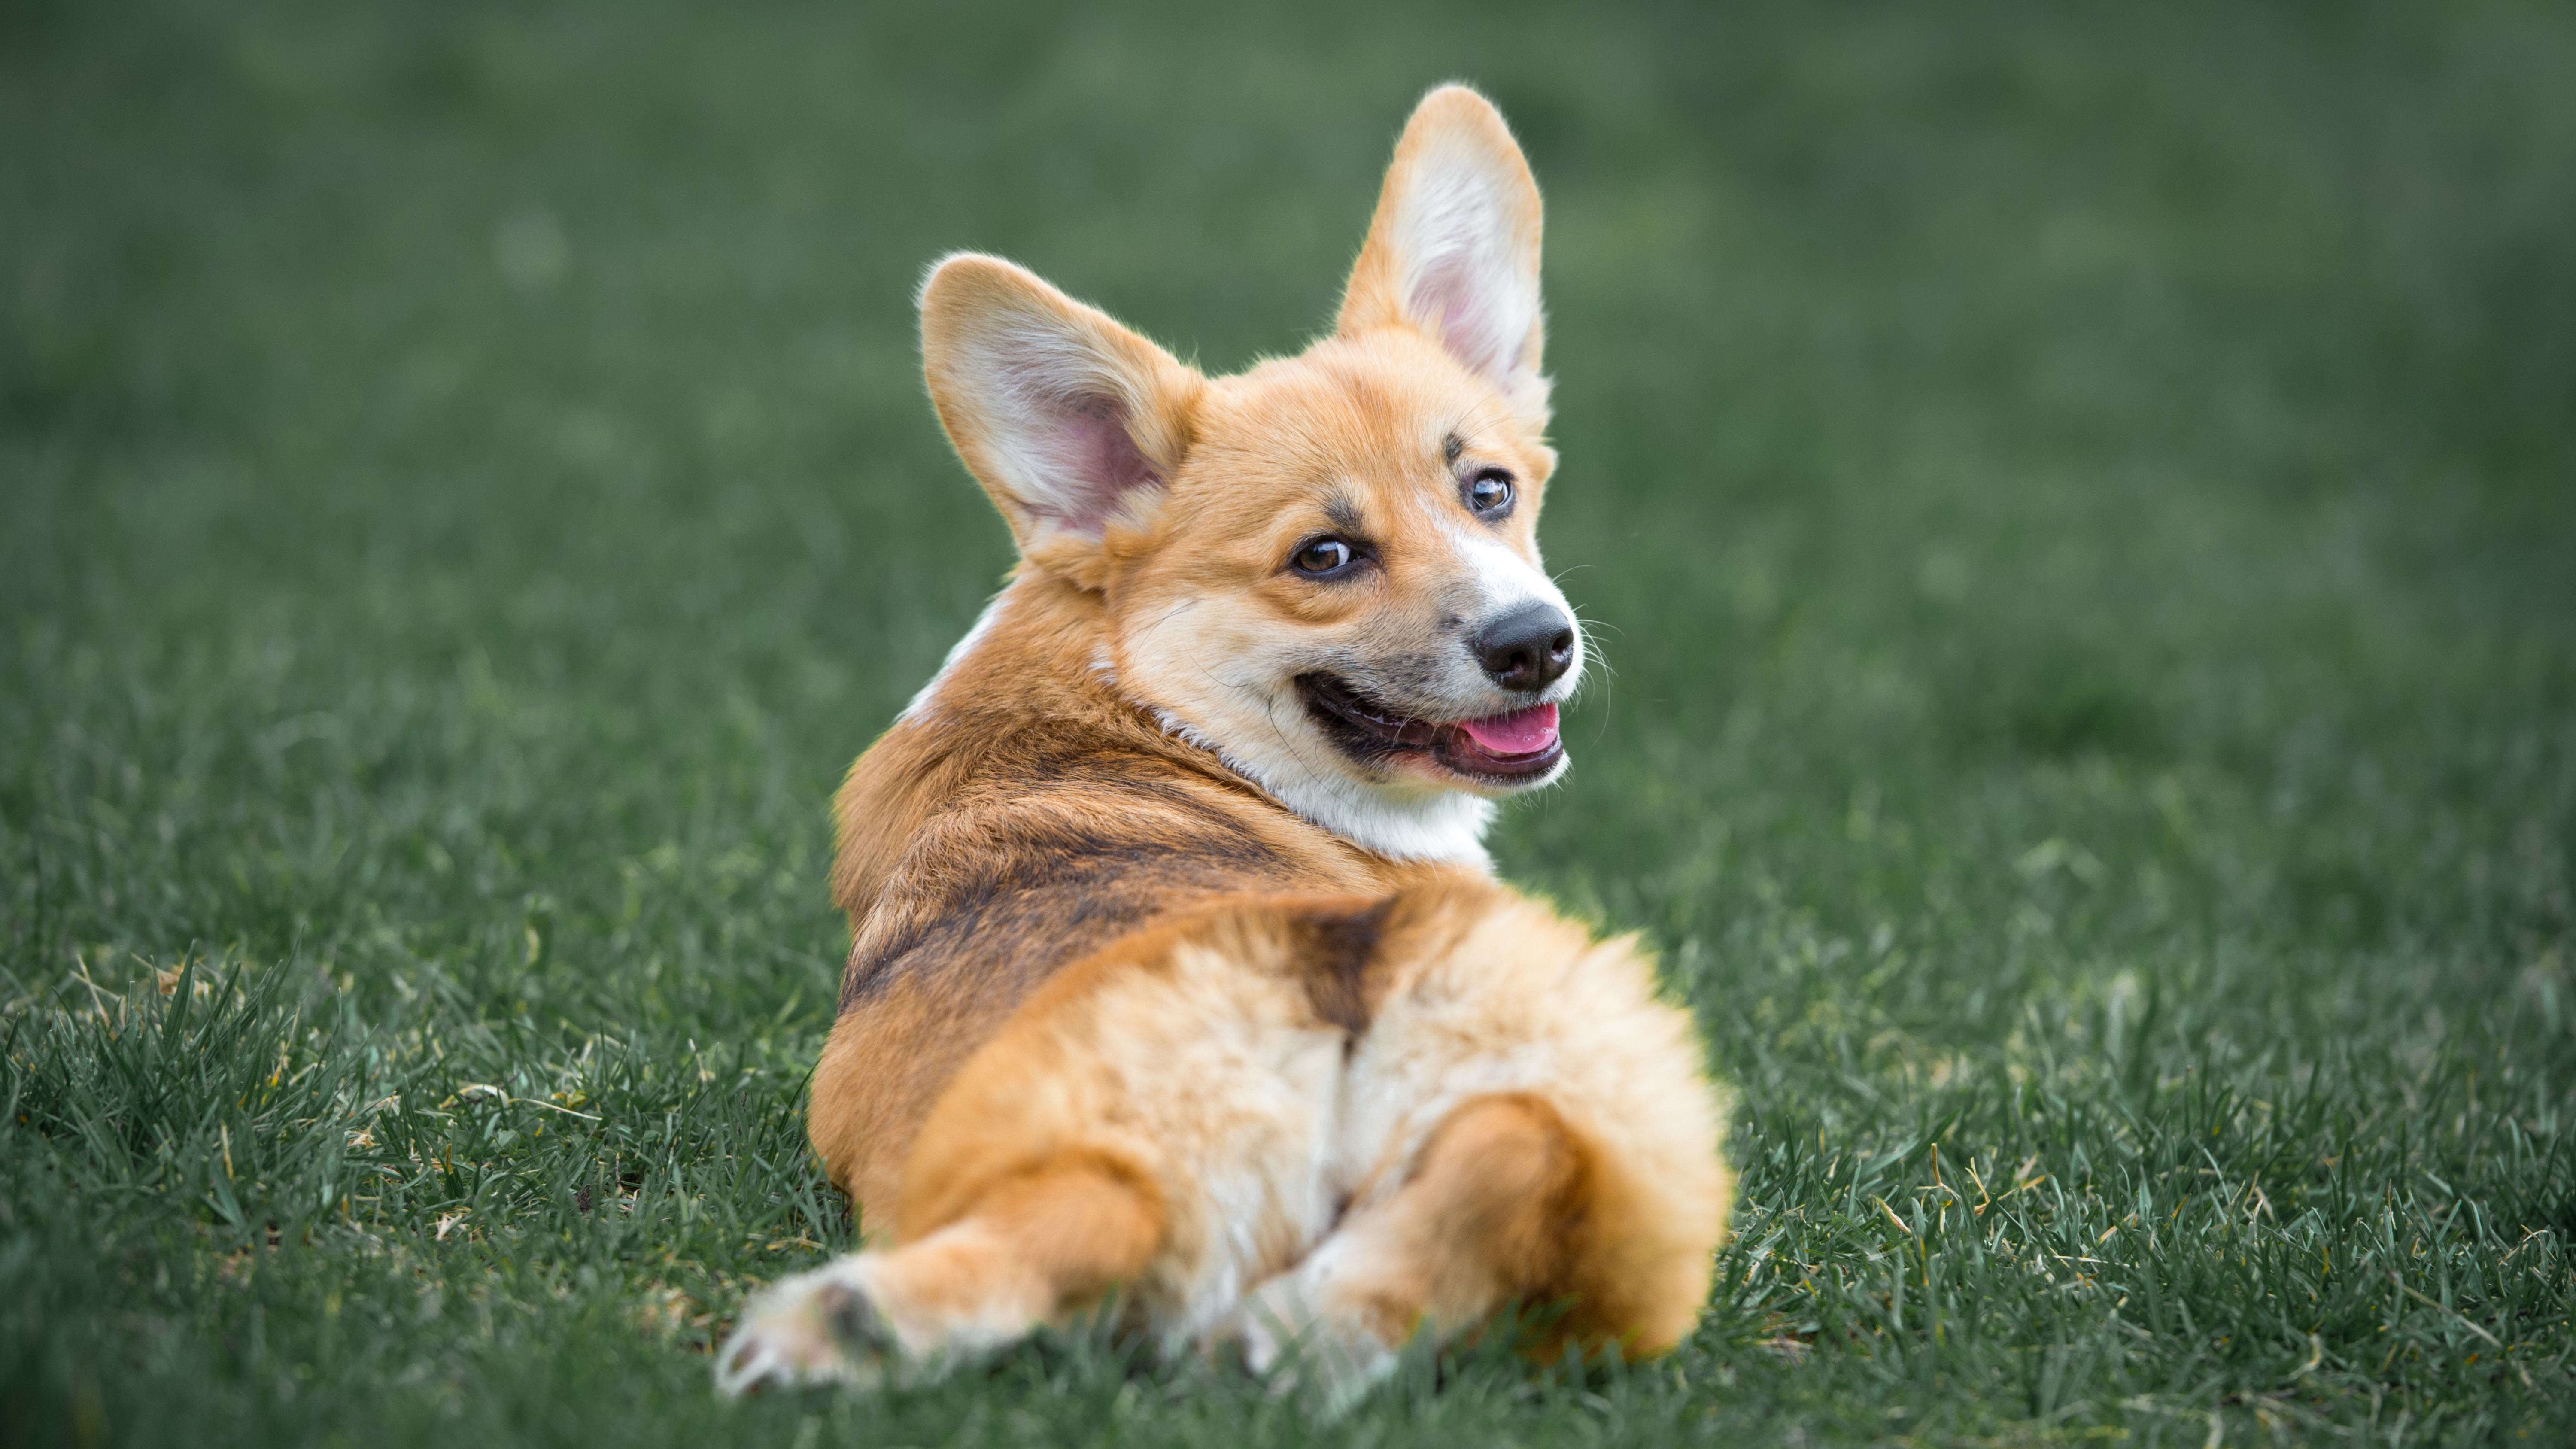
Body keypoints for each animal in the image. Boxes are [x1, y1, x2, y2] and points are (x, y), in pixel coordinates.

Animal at [716, 82, 1741, 1402]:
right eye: (1326, 556)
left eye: (1490, 491)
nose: (1536, 645)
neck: (1143, 700)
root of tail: (1312, 983)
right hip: (1629, 1121)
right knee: (1524, 1150)